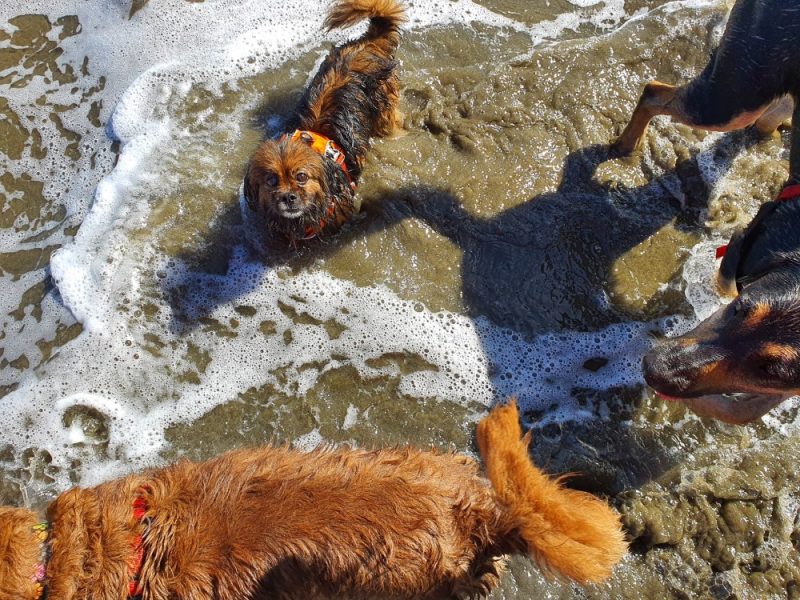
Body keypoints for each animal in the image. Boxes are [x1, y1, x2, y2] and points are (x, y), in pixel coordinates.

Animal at [620, 0, 800, 422]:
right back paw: (624, 146)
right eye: (740, 309)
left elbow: (739, 410)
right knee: (654, 92)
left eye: (772, 370)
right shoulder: (741, 250)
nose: (652, 367)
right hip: (734, 95)